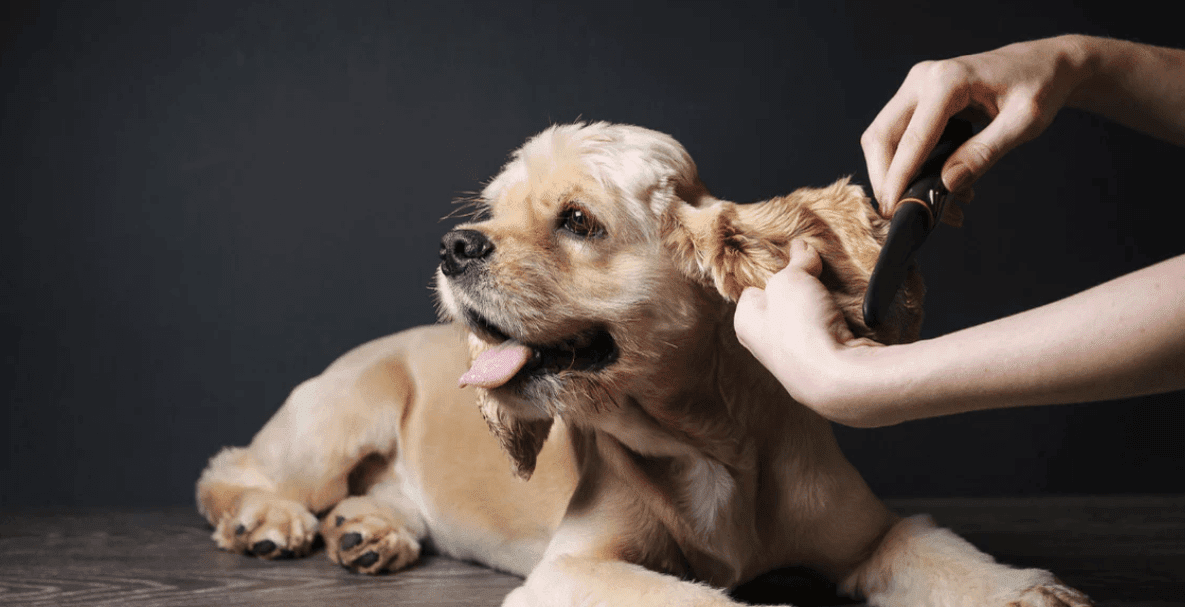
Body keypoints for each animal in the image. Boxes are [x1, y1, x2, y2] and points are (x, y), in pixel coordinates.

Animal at [196, 120, 1090, 604]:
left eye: (577, 221)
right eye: (492, 212)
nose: (454, 247)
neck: (709, 448)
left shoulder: (871, 532)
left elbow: (935, 548)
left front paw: (1025, 590)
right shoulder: (571, 570)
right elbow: (699, 597)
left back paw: (368, 531)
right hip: (339, 416)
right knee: (232, 466)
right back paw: (267, 520)